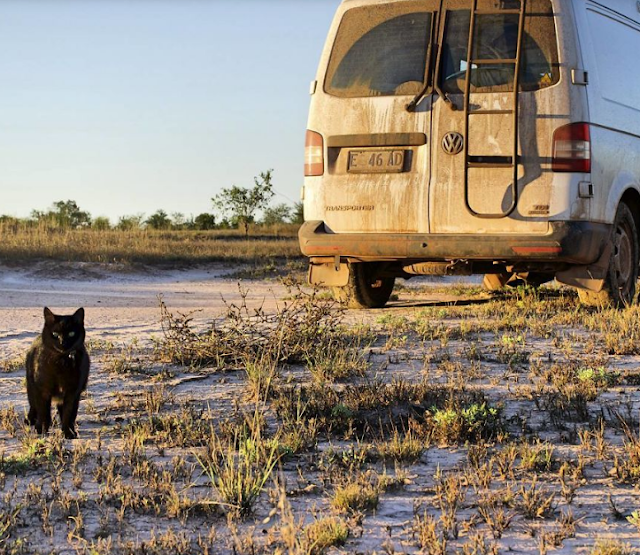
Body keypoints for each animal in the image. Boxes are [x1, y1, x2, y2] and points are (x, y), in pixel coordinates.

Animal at [25, 306, 90, 440]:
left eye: (71, 333)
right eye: (55, 334)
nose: (62, 342)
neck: (61, 362)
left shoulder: (72, 392)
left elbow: (68, 414)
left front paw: (68, 433)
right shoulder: (42, 390)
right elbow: (43, 412)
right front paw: (41, 430)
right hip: (31, 386)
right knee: (33, 405)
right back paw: (30, 420)